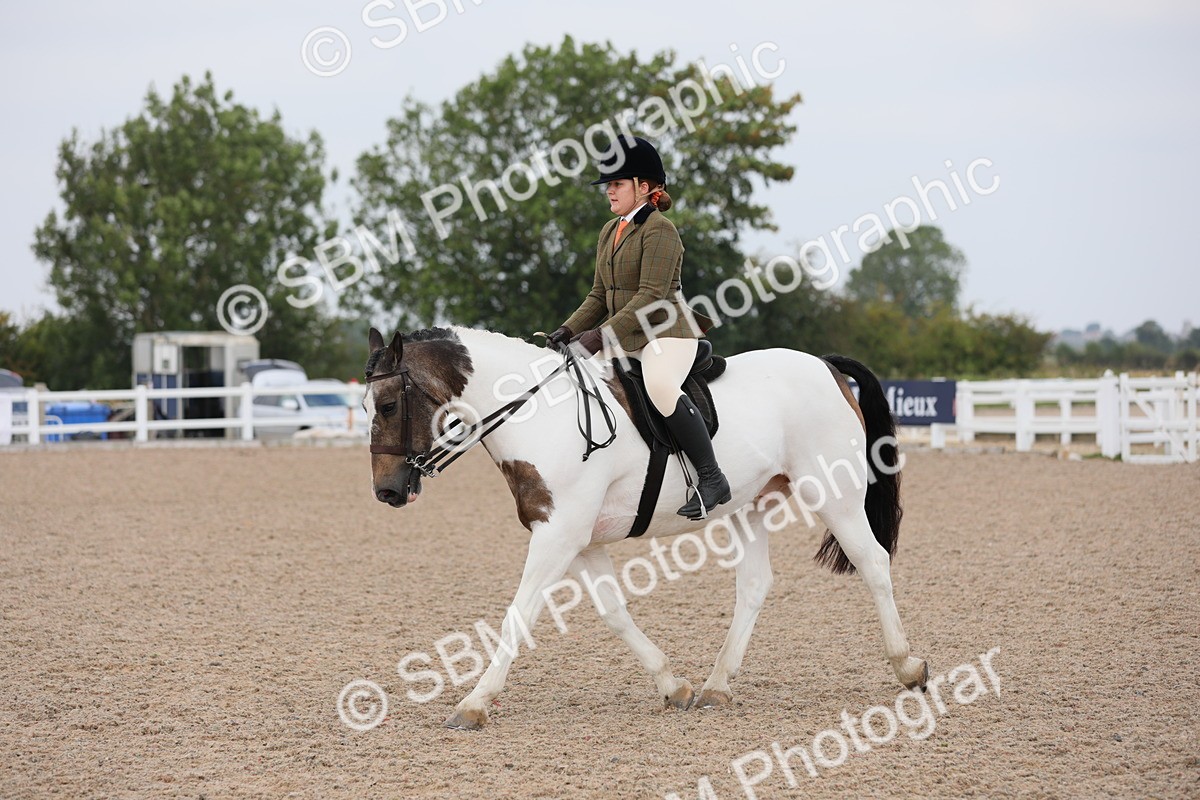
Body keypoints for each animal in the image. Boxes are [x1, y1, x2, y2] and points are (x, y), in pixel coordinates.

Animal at [363, 325, 927, 730]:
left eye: (388, 405)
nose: (387, 492)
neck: (538, 414)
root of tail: (825, 365)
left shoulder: (558, 535)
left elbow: (517, 616)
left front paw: (474, 704)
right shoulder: (578, 540)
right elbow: (614, 613)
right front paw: (672, 686)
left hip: (833, 493)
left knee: (873, 563)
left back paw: (908, 667)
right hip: (750, 505)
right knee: (754, 585)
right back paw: (716, 686)